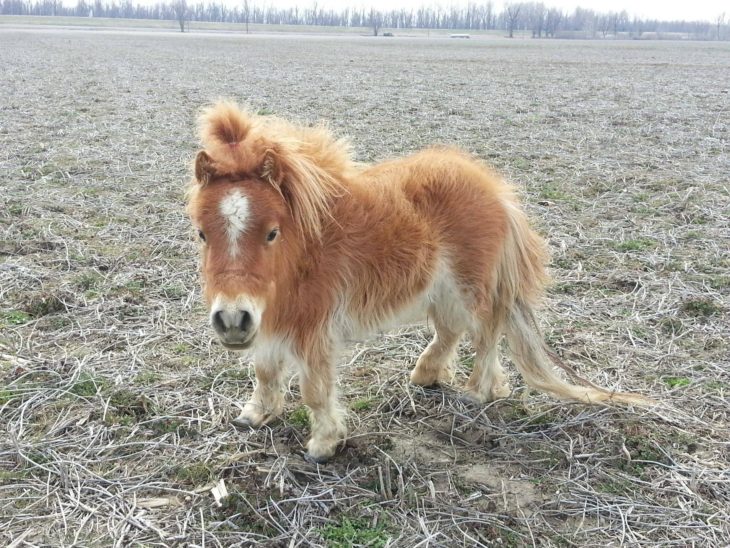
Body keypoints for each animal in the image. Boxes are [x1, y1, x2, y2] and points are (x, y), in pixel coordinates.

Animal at [186, 101, 648, 462]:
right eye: (202, 233)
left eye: (272, 233)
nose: (231, 320)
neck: (305, 249)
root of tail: (496, 189)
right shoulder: (271, 322)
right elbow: (265, 372)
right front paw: (254, 415)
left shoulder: (313, 327)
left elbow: (314, 389)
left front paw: (323, 445)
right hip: (442, 289)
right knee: (451, 331)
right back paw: (427, 376)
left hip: (470, 287)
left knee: (487, 333)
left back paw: (478, 392)